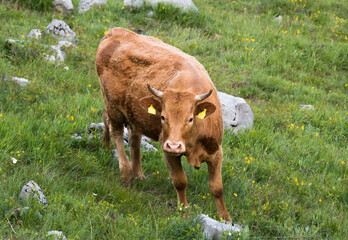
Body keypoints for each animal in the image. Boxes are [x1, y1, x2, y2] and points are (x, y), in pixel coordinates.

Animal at [96, 27, 231, 221]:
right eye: (163, 117)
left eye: (190, 118)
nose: (174, 145)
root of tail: (116, 32)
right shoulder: (167, 150)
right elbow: (180, 181)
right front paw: (183, 210)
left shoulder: (216, 151)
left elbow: (217, 187)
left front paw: (225, 219)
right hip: (113, 108)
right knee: (116, 133)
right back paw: (126, 173)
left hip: (133, 115)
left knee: (132, 138)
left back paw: (136, 172)